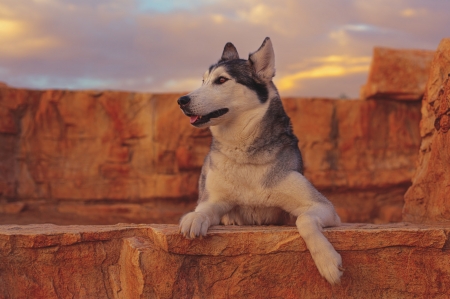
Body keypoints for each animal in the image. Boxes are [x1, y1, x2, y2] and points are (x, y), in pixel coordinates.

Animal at [178, 37, 342, 284]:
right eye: (203, 80)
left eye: (221, 80)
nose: (181, 100)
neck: (245, 154)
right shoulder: (213, 199)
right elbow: (203, 210)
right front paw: (194, 218)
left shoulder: (323, 207)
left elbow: (304, 220)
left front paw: (328, 262)